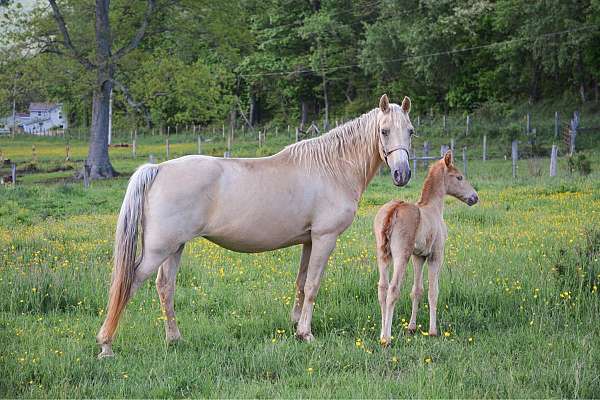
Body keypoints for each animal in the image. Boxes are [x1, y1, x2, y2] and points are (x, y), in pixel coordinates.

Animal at [99, 94, 418, 356]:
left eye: (411, 131)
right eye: (384, 131)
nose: (402, 174)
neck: (332, 169)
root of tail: (158, 169)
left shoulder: (309, 240)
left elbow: (301, 283)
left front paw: (295, 326)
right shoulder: (325, 238)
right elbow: (313, 285)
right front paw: (306, 333)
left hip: (175, 247)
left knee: (165, 287)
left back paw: (174, 339)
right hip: (159, 249)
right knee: (130, 283)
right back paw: (106, 345)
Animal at [376, 150, 478, 344]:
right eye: (459, 177)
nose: (475, 197)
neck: (433, 208)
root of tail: (393, 210)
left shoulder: (418, 257)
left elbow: (417, 291)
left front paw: (411, 327)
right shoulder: (435, 256)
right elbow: (433, 291)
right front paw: (432, 331)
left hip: (383, 255)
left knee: (382, 288)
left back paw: (381, 334)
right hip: (401, 255)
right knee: (393, 290)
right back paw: (387, 338)